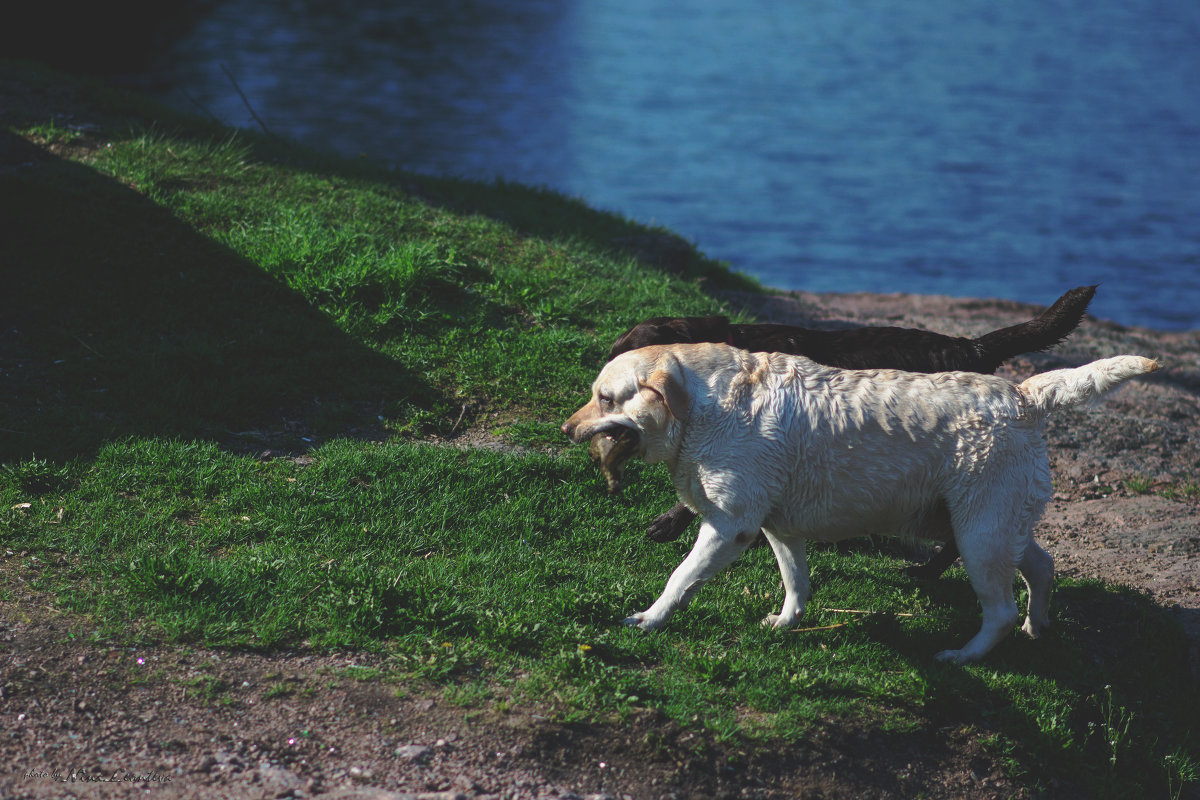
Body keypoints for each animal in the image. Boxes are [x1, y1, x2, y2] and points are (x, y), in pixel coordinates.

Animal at [566, 345, 1156, 662]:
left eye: (604, 397)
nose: (567, 429)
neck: (708, 406)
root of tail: (1024, 395)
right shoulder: (779, 527)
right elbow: (796, 582)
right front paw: (787, 623)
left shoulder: (730, 527)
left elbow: (679, 578)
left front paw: (650, 619)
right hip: (995, 525)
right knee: (1042, 565)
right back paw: (1039, 627)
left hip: (978, 537)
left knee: (1001, 611)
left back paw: (964, 655)